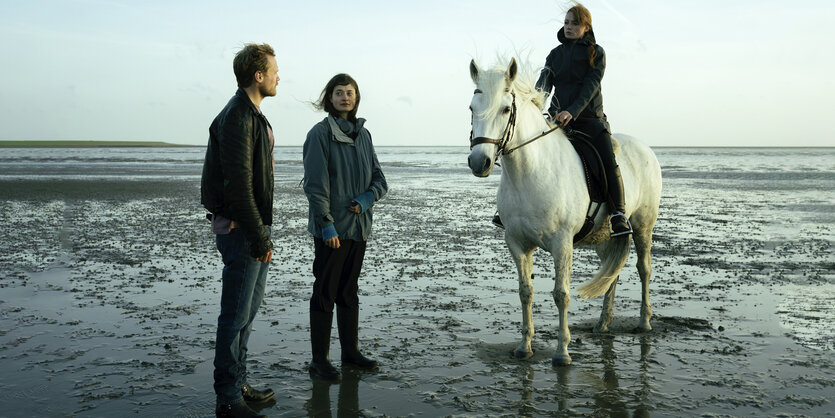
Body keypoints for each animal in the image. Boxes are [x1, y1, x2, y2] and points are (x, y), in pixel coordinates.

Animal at [470, 58, 660, 366]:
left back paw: (644, 323)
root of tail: (645, 148)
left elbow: (561, 294)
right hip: (604, 237)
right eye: (471, 108)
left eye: (506, 109)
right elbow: (525, 292)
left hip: (643, 226)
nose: (479, 162)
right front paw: (524, 347)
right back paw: (603, 324)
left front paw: (562, 353)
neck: (529, 173)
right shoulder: (517, 244)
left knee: (644, 269)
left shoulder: (562, 244)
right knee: (611, 275)